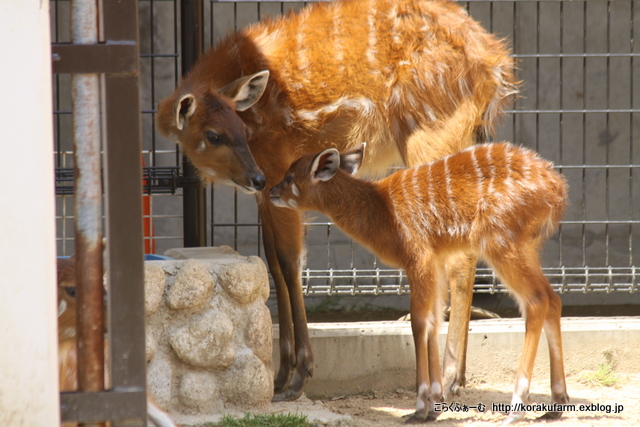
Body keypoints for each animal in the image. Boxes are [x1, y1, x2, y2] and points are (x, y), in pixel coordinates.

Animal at [156, 0, 520, 402]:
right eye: (215, 134)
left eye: (234, 129)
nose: (255, 178)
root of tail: (496, 63)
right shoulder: (270, 191)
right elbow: (272, 264)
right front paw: (281, 375)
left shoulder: (279, 165)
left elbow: (289, 264)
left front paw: (297, 377)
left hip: (431, 131)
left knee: (460, 253)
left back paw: (452, 374)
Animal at [270, 144, 568, 424]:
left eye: (289, 177)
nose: (271, 190)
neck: (381, 210)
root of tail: (557, 189)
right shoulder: (435, 260)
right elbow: (435, 320)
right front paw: (435, 406)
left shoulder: (418, 258)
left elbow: (418, 322)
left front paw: (420, 408)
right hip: (526, 246)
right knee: (553, 298)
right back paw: (555, 405)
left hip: (501, 242)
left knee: (536, 300)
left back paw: (516, 408)